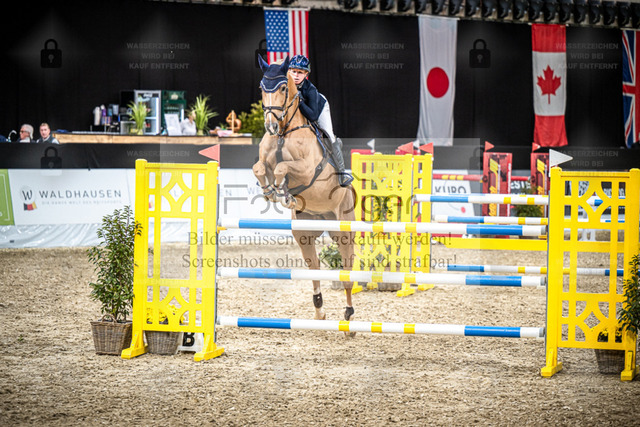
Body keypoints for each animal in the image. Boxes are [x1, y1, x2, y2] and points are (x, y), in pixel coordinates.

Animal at [252, 55, 357, 328]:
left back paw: (349, 319)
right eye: (261, 87)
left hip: (344, 230)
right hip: (304, 233)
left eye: (282, 88)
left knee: (347, 270)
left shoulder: (308, 170)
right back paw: (319, 312)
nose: (270, 125)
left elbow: (282, 167)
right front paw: (271, 192)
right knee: (315, 266)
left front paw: (282, 191)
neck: (285, 131)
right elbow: (261, 167)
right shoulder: (264, 160)